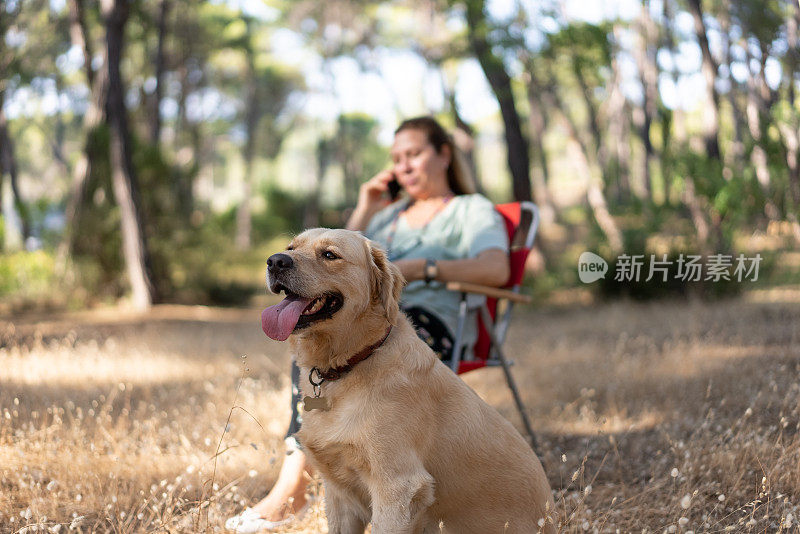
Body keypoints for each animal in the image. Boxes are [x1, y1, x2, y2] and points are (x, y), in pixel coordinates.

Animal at [262, 228, 556, 532]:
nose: (275, 261)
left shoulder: (398, 488)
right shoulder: (340, 495)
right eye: (291, 247)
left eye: (330, 254)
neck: (352, 361)